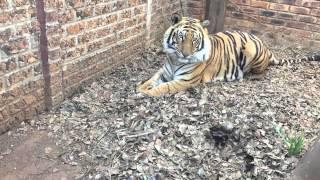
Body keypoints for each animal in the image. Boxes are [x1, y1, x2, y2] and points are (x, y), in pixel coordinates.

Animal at [138, 15, 320, 97]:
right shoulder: (164, 71)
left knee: (263, 71)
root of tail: (266, 47)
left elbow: (162, 87)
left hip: (251, 50)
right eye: (181, 37)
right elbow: (151, 79)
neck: (175, 60)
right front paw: (140, 87)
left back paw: (249, 76)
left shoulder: (185, 80)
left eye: (194, 40)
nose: (185, 54)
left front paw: (143, 93)